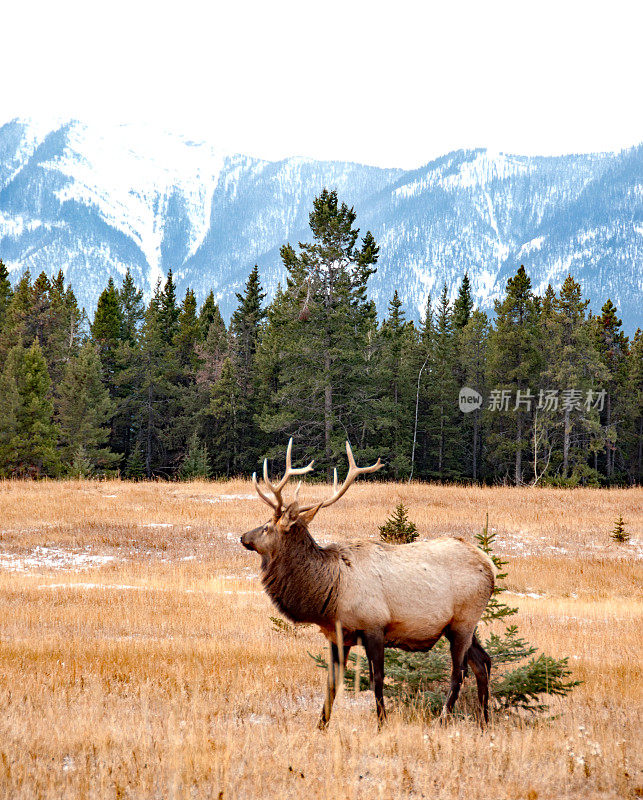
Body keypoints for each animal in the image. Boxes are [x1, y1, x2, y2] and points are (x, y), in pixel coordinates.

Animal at [239, 440, 496, 728]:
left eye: (266, 527)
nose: (243, 537)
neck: (330, 594)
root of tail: (490, 565)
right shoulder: (339, 635)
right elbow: (332, 683)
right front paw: (321, 726)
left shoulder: (375, 626)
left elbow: (377, 680)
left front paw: (382, 722)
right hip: (462, 626)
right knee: (483, 663)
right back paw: (485, 721)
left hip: (464, 620)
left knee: (459, 672)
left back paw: (444, 718)